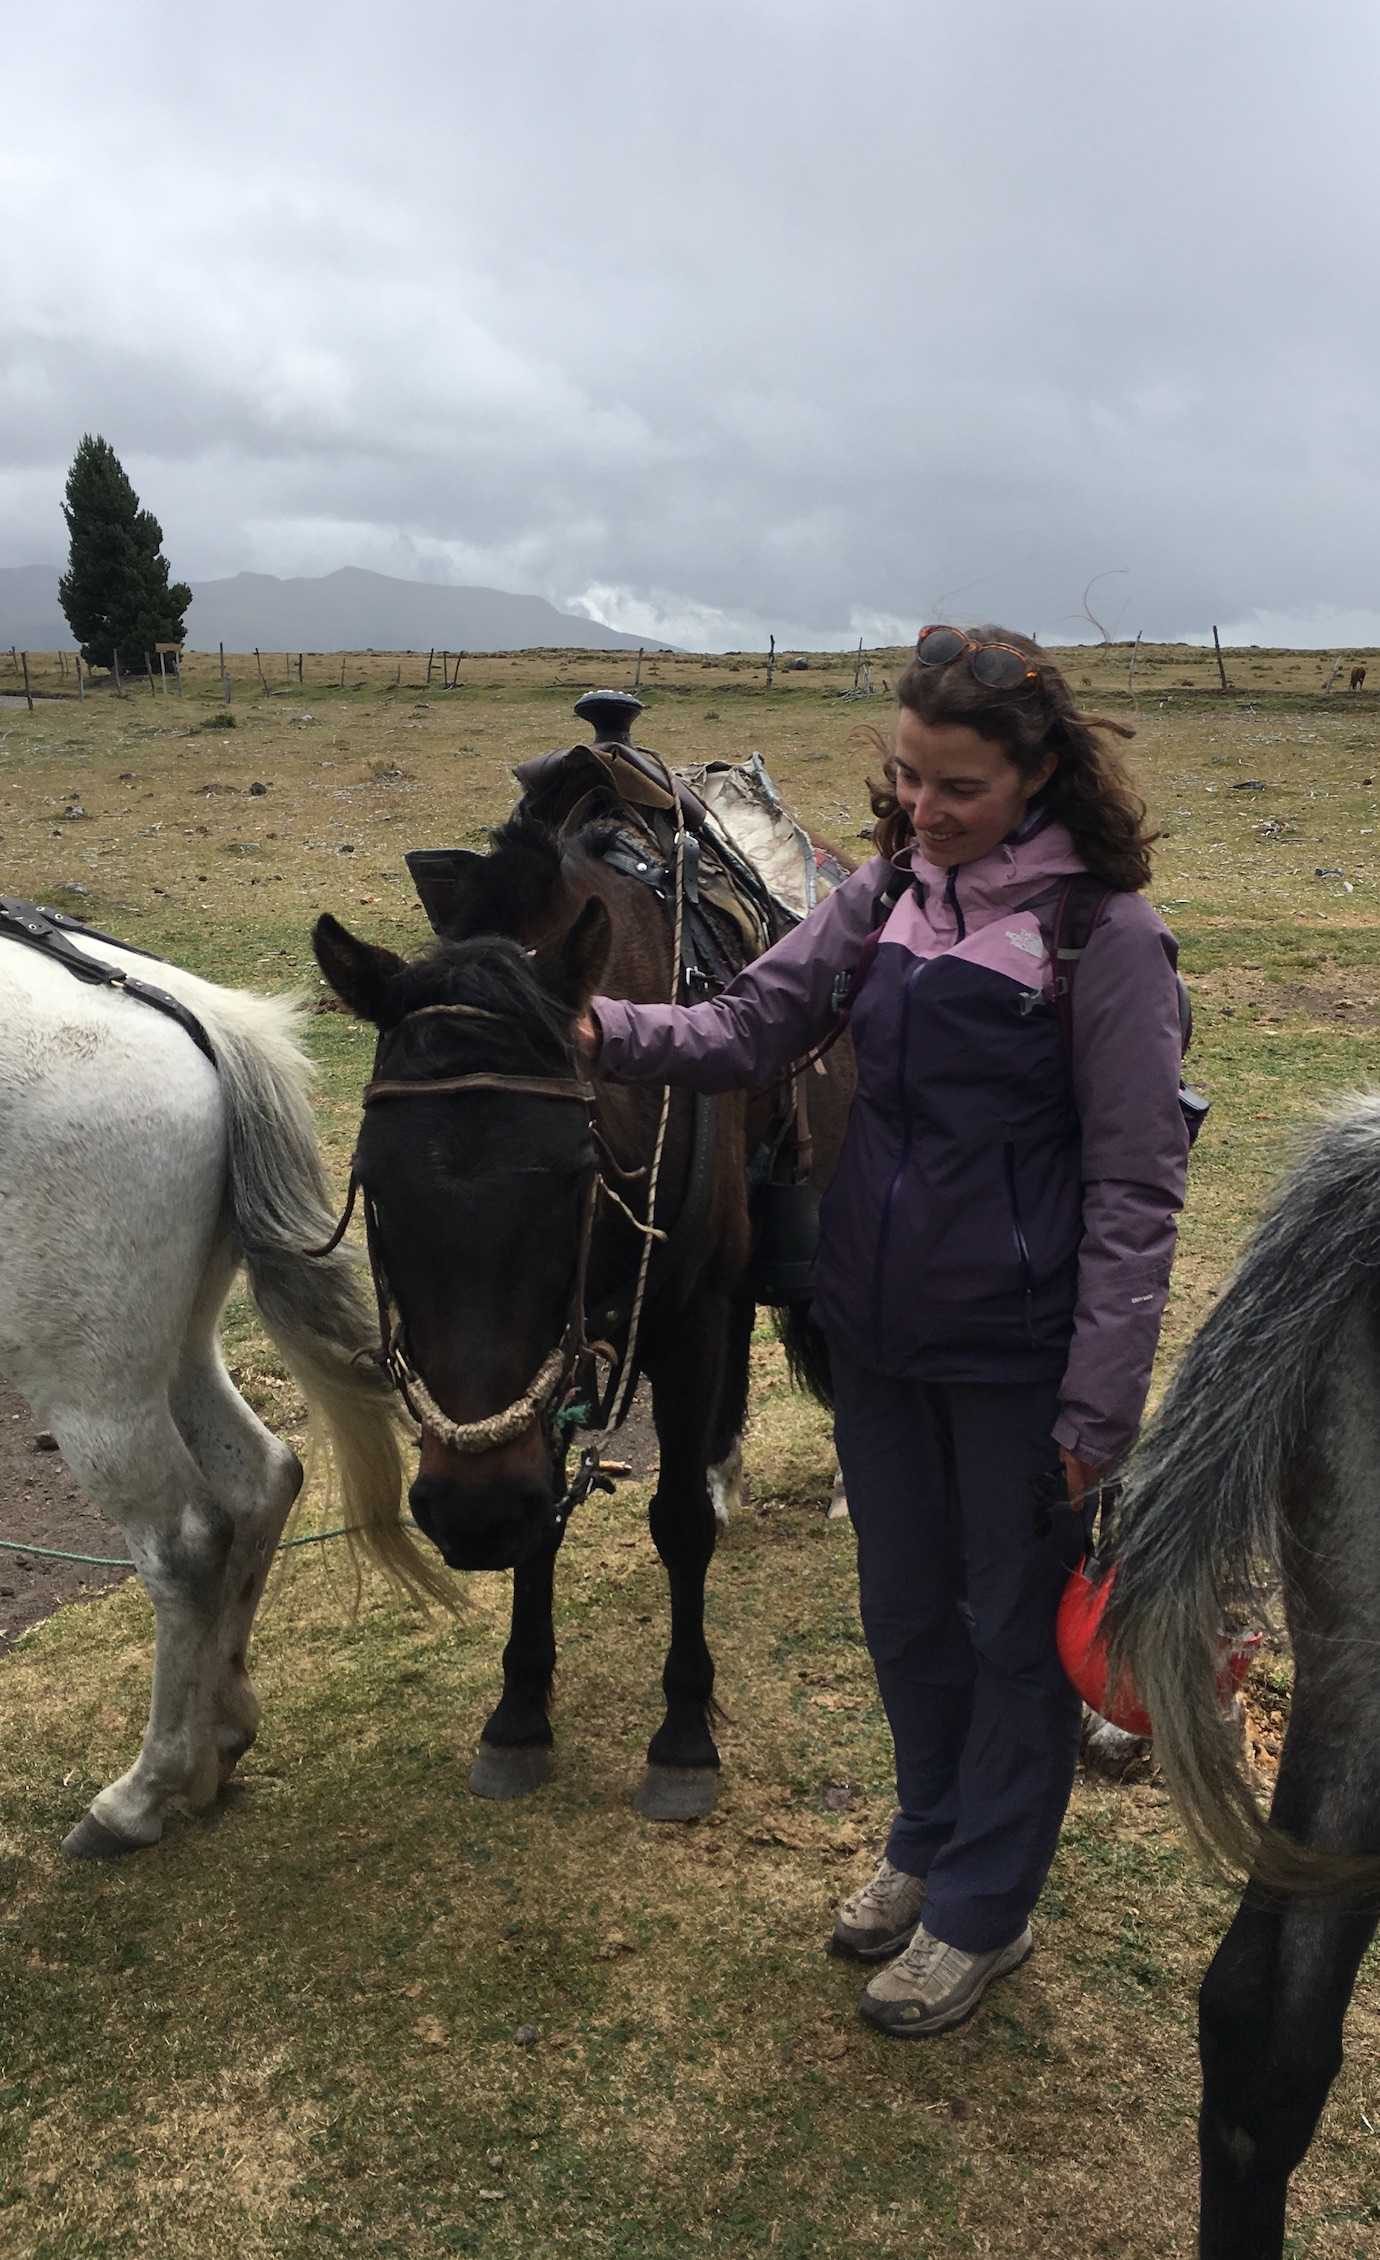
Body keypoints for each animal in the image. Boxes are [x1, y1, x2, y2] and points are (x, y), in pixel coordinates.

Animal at [316, 813, 849, 1817]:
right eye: (373, 1180)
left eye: (574, 1175)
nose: (471, 1514)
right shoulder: (557, 1360)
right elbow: (547, 1520)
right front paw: (520, 1711)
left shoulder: (685, 1318)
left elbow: (674, 1521)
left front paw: (683, 1735)